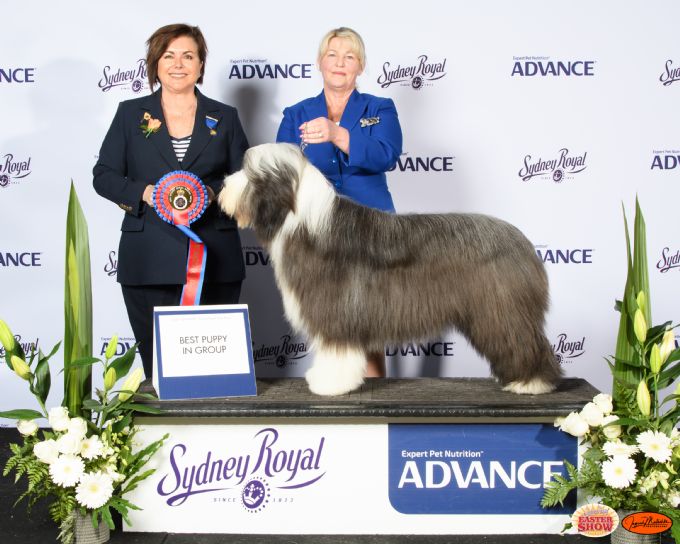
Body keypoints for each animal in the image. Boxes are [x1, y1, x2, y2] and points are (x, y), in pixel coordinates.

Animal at [220, 143, 562, 396]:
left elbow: (334, 350)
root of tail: (522, 241)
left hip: (501, 309)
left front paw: (328, 383)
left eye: (249, 173)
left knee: (523, 339)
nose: (222, 185)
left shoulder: (334, 311)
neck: (302, 220)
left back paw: (531, 382)